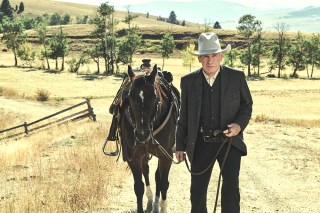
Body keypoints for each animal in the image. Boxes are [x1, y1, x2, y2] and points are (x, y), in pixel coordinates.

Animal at [118, 64, 179, 212]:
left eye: (154, 96)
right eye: (130, 96)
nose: (142, 134)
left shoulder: (166, 155)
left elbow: (163, 183)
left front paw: (163, 207)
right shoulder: (133, 157)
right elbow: (138, 186)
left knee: (158, 177)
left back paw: (156, 204)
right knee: (146, 171)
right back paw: (151, 200)